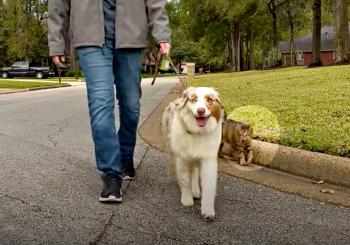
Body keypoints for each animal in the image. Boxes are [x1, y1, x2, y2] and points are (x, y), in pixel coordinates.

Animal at [162, 86, 224, 220]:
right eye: (193, 99)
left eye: (210, 100)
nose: (200, 111)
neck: (198, 132)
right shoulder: (182, 158)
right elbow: (185, 179)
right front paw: (186, 200)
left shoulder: (208, 159)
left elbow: (209, 185)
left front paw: (208, 210)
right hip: (171, 148)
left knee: (195, 171)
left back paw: (195, 190)